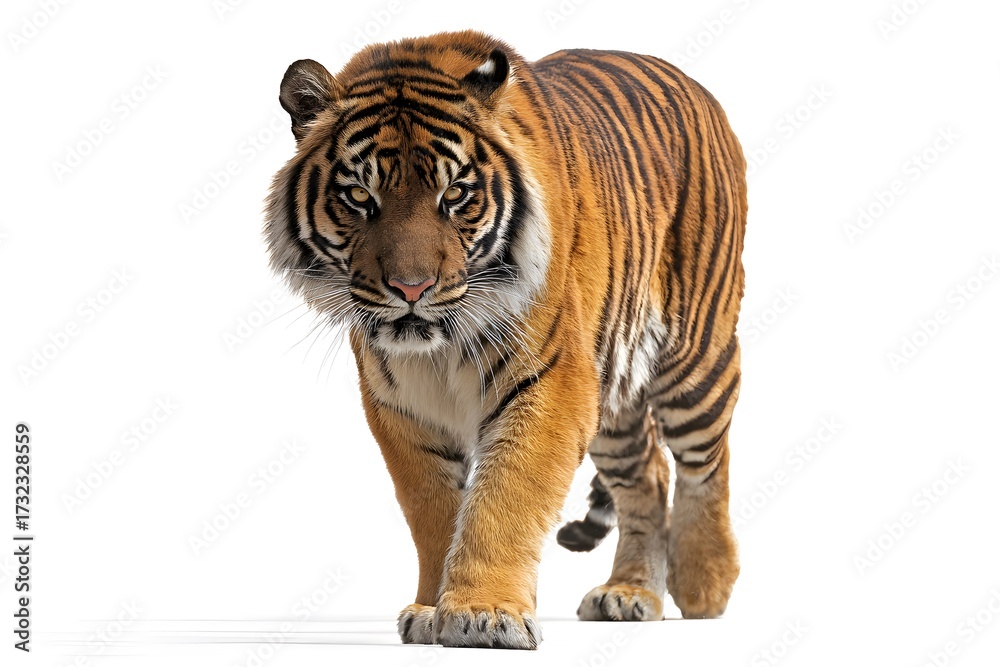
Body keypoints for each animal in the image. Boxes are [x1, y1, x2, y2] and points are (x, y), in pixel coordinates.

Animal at [265, 29, 746, 649]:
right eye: (360, 198)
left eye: (454, 195)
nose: (411, 288)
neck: (438, 349)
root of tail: (690, 81)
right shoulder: (400, 405)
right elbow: (433, 510)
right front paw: (431, 609)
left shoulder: (551, 382)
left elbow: (505, 497)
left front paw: (483, 614)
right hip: (612, 398)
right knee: (648, 475)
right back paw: (629, 593)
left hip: (695, 358)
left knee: (707, 460)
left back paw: (706, 584)